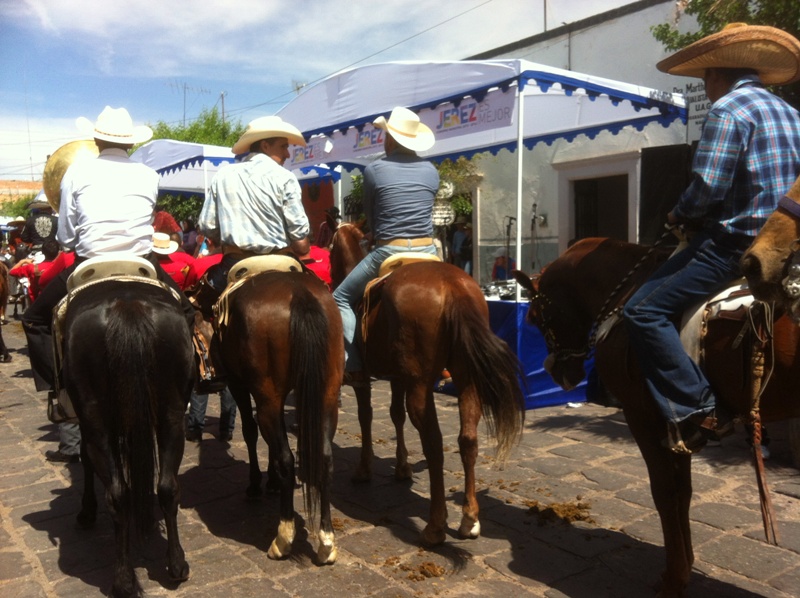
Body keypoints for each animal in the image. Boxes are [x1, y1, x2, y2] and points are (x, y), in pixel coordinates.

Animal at [61, 278, 194, 598]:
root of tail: (127, 304)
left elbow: (84, 459)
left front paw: (86, 512)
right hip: (172, 415)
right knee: (167, 487)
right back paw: (176, 565)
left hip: (95, 420)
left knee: (117, 493)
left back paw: (122, 580)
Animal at [216, 267, 343, 564]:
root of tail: (300, 293)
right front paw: (272, 482)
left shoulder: (238, 384)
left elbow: (251, 432)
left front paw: (257, 484)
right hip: (327, 396)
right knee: (325, 457)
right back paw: (326, 541)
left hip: (267, 398)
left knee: (286, 456)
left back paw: (283, 537)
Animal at [329, 221, 526, 546]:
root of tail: (453, 285)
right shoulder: (398, 377)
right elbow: (395, 415)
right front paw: (402, 467)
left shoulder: (365, 380)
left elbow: (366, 417)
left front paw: (364, 468)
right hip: (465, 379)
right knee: (467, 439)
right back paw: (469, 519)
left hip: (421, 387)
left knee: (433, 443)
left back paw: (435, 526)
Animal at [513, 237, 800, 597]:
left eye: (538, 317)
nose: (559, 373)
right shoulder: (679, 425)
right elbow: (683, 493)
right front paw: (684, 566)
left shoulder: (642, 418)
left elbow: (664, 493)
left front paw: (674, 579)